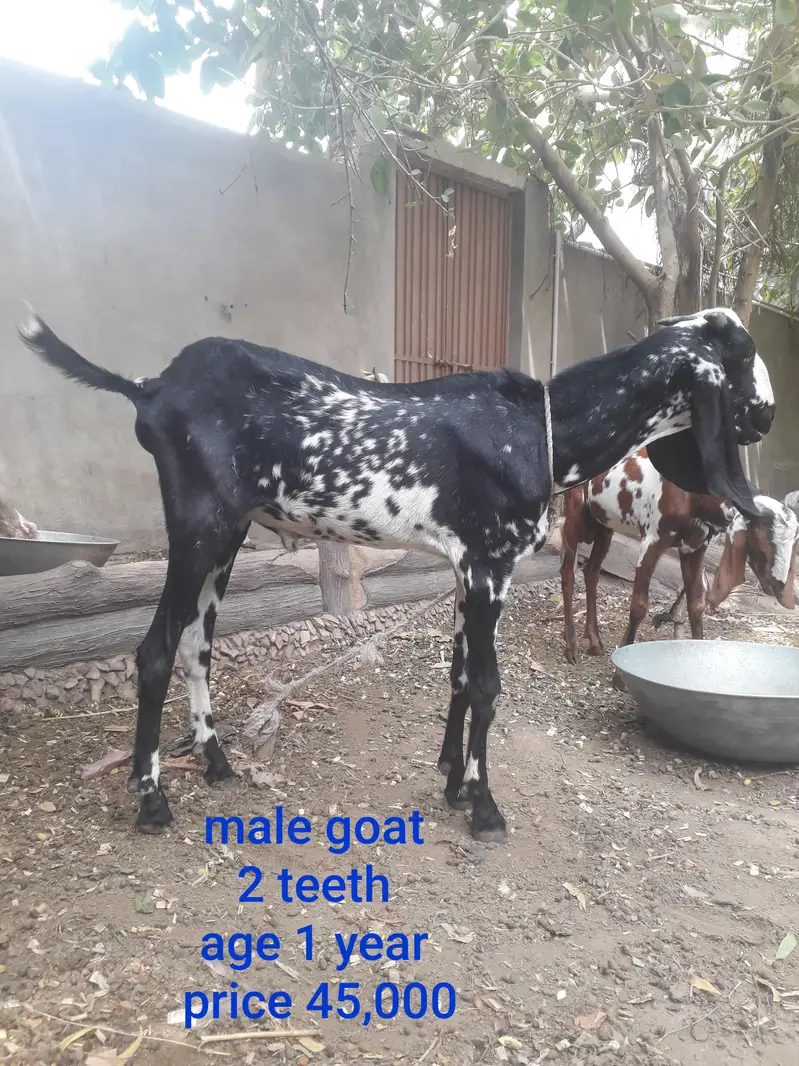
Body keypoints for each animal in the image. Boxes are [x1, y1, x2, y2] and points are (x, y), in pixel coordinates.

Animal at [560, 451, 798, 669]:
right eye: (762, 538)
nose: (778, 585)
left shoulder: (695, 548)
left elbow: (696, 605)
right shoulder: (652, 541)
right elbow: (639, 605)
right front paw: (619, 674)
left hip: (604, 523)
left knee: (591, 572)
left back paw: (594, 641)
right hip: (574, 511)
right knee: (568, 574)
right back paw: (571, 647)